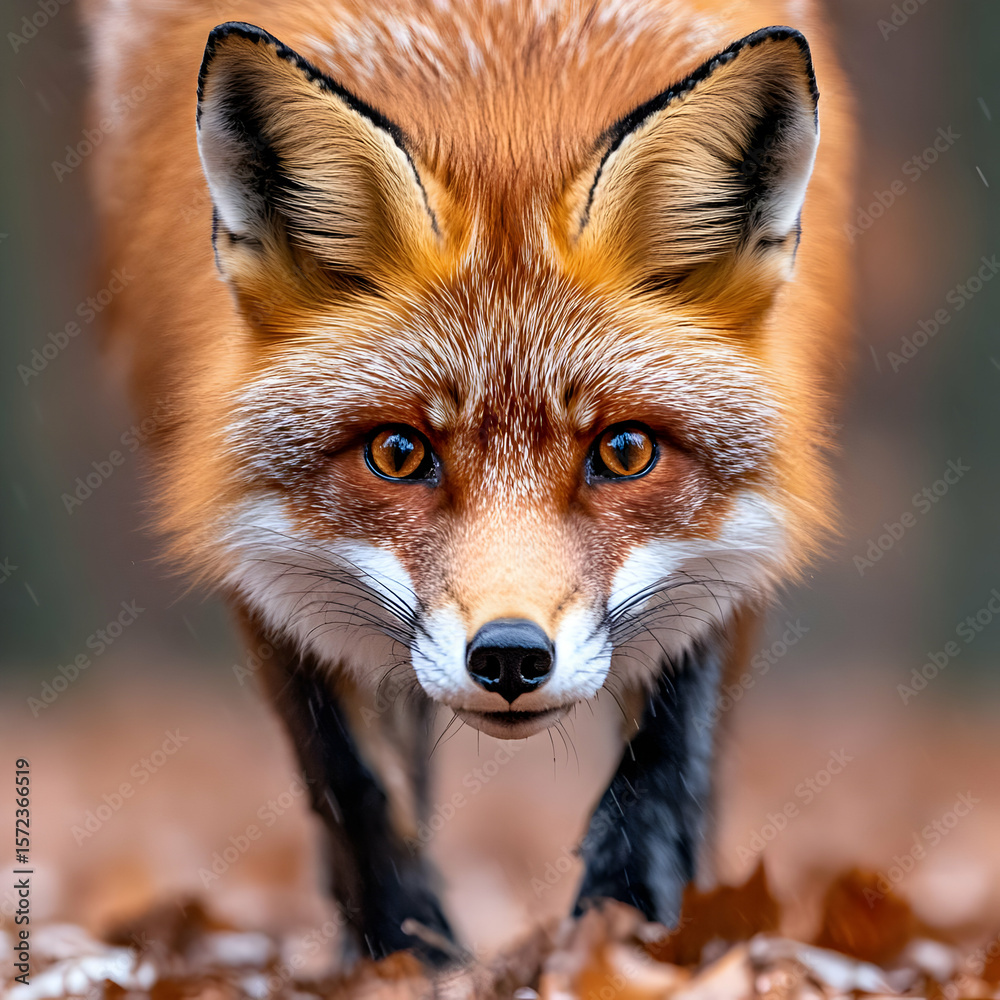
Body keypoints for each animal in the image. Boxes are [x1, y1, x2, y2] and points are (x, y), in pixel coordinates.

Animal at [81, 0, 853, 968]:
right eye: (398, 453)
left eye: (625, 451)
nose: (511, 657)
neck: (500, 72)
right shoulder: (252, 541)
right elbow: (353, 785)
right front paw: (406, 957)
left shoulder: (738, 534)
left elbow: (670, 758)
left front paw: (632, 931)